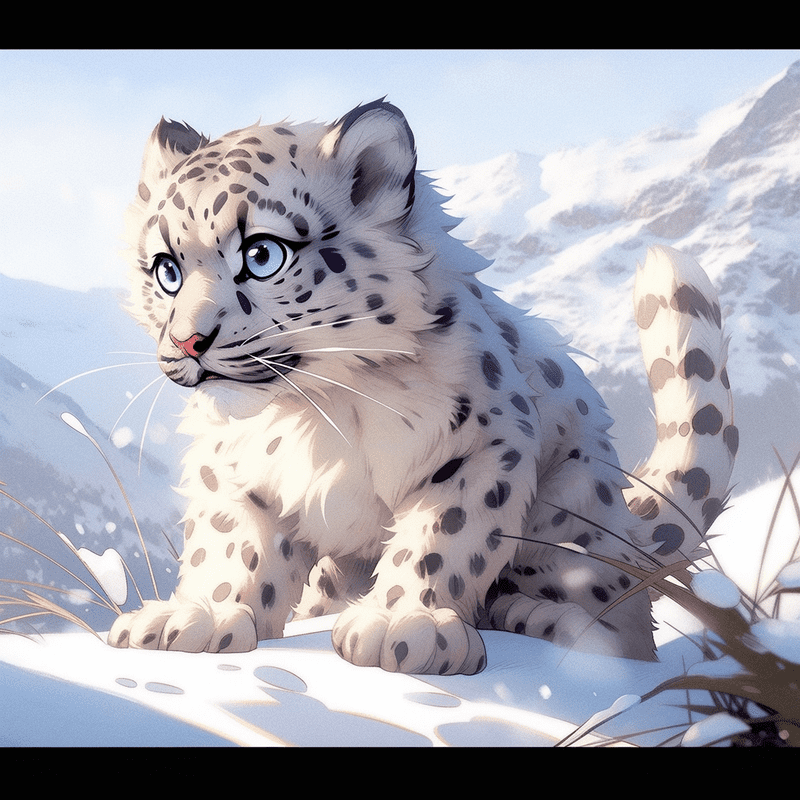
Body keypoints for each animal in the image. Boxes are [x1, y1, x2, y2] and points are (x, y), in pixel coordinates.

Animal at [107, 99, 736, 675]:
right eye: (166, 270)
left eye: (262, 255)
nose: (189, 342)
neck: (310, 411)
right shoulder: (234, 470)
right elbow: (232, 543)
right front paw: (198, 618)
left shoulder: (480, 444)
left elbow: (442, 535)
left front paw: (401, 626)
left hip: (571, 516)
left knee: (617, 623)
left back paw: (545, 620)